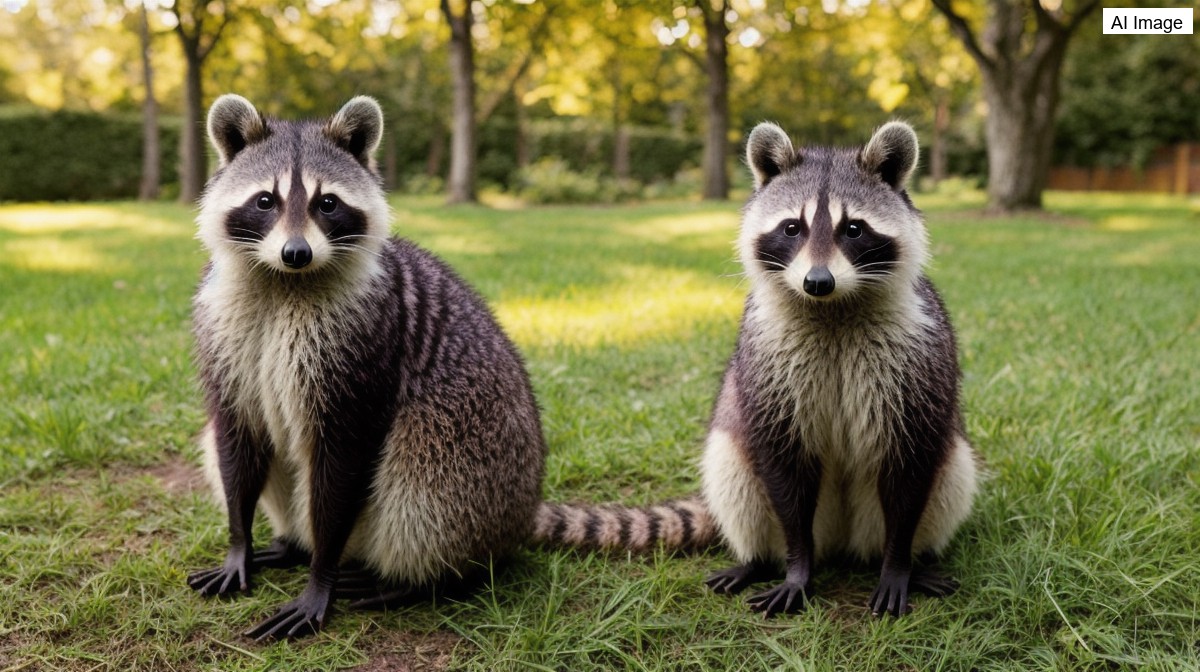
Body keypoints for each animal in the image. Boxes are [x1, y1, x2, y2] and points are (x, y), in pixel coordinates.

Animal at [186, 95, 546, 640]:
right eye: (265, 201)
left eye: (327, 203)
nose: (296, 253)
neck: (284, 283)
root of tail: (520, 520)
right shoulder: (223, 333)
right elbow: (234, 435)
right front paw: (239, 544)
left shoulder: (366, 344)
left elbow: (344, 462)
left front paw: (322, 577)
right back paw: (292, 543)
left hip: (485, 455)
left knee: (424, 473)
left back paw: (420, 579)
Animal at [700, 122, 978, 617]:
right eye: (793, 228)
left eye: (853, 229)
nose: (818, 282)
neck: (832, 310)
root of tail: (843, 543)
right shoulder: (768, 360)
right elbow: (783, 466)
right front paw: (796, 569)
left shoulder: (918, 355)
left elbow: (909, 469)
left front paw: (897, 566)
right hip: (745, 452)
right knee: (730, 472)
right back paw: (756, 559)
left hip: (927, 476)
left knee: (952, 473)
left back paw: (918, 561)